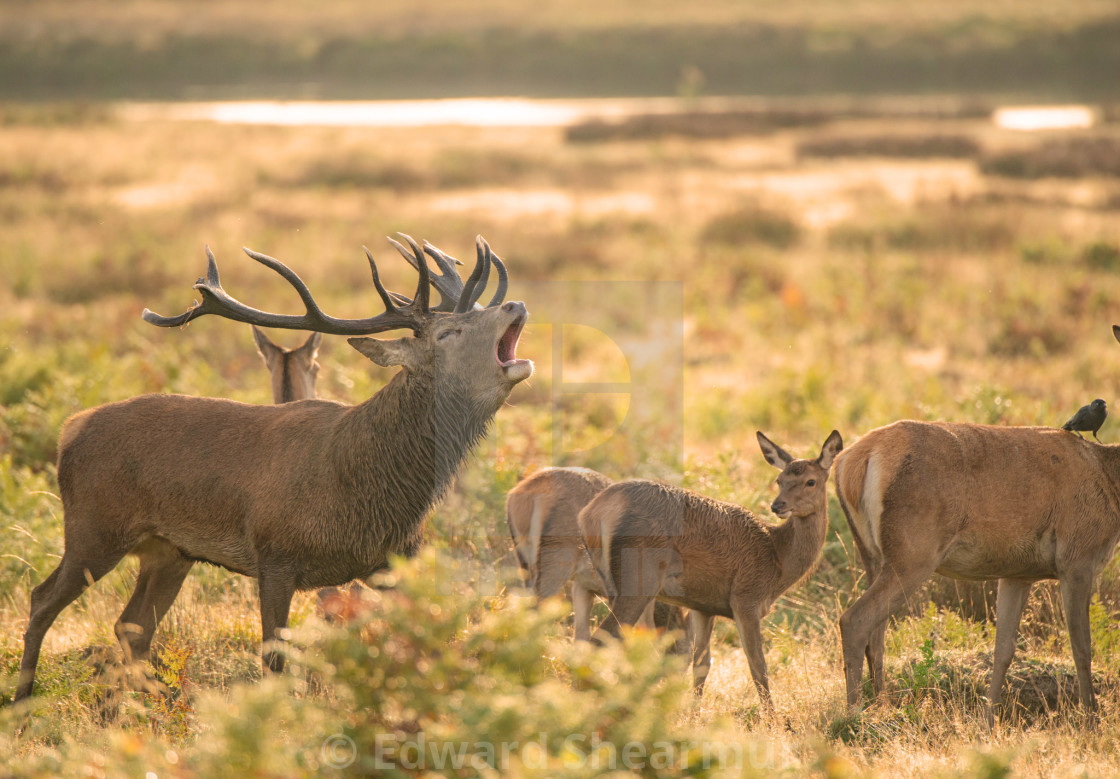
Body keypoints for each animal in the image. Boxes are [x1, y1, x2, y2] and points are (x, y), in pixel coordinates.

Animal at [12, 233, 528, 702]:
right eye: (448, 333)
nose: (515, 304)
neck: (368, 490)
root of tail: (69, 430)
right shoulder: (275, 554)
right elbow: (274, 663)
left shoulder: (396, 560)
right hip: (93, 529)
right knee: (42, 600)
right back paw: (24, 702)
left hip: (168, 552)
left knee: (130, 626)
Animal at [586, 429, 842, 707]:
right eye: (779, 480)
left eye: (810, 481)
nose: (777, 505)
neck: (777, 563)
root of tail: (594, 513)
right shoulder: (745, 598)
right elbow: (758, 668)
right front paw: (774, 717)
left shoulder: (703, 606)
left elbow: (701, 665)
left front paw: (692, 714)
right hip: (638, 578)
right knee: (600, 641)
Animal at [837, 407, 1120, 716]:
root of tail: (850, 463)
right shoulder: (1078, 558)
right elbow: (1082, 648)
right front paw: (1091, 717)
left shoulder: (1018, 573)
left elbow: (1003, 650)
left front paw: (988, 719)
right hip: (914, 552)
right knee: (855, 620)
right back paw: (854, 714)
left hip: (872, 554)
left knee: (876, 636)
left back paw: (881, 707)